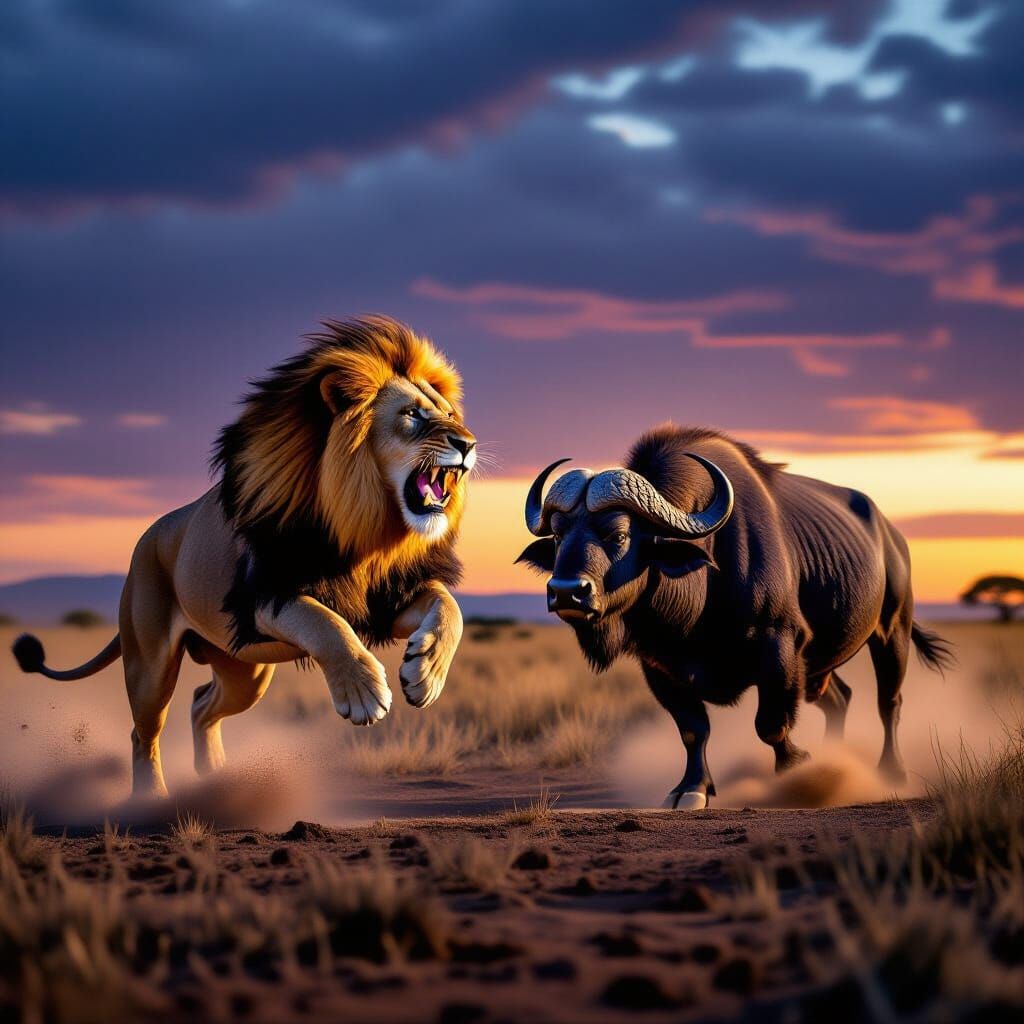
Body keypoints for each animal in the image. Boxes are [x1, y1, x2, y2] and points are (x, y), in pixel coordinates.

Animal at [12, 316, 477, 797]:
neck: (367, 531)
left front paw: (425, 674)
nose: (468, 443)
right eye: (412, 415)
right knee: (143, 732)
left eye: (449, 414)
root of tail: (147, 539)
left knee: (201, 704)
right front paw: (363, 694)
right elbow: (325, 622)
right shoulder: (264, 596)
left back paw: (216, 774)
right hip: (151, 665)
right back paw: (150, 796)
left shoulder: (387, 601)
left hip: (244, 670)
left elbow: (450, 609)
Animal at [517, 425, 952, 809]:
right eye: (558, 535)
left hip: (892, 630)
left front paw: (796, 770)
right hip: (819, 668)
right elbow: (693, 729)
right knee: (840, 700)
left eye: (619, 534)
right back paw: (837, 759)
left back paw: (891, 771)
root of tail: (892, 537)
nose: (566, 591)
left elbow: (771, 723)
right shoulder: (658, 664)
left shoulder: (779, 647)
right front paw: (692, 789)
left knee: (889, 701)